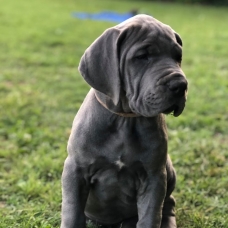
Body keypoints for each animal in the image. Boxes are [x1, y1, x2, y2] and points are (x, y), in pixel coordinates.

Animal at [60, 14, 187, 228]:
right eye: (142, 57)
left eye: (178, 57)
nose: (180, 85)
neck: (125, 120)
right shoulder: (75, 170)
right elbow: (73, 213)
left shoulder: (154, 176)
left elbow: (150, 217)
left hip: (168, 169)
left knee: (168, 205)